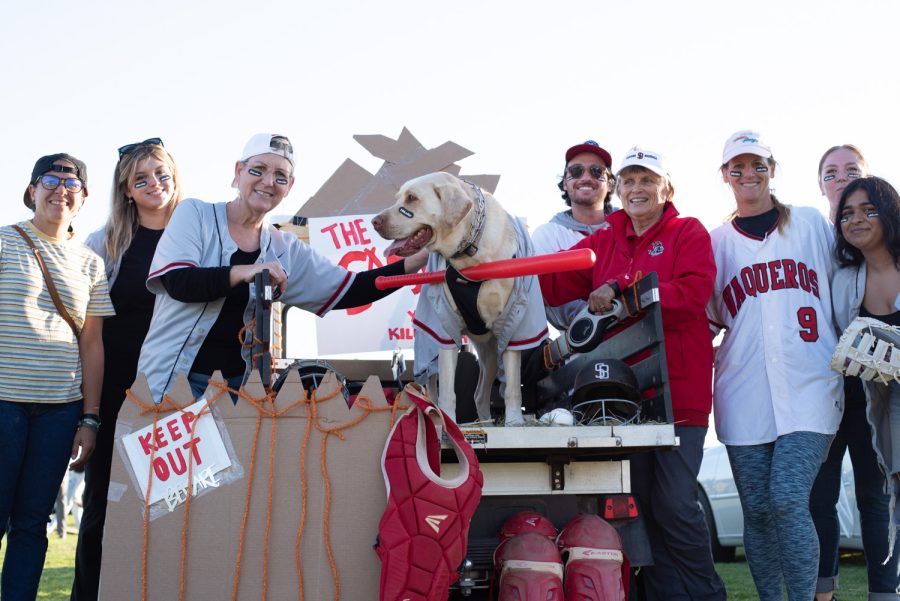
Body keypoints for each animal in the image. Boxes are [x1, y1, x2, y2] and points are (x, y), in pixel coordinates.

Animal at [370, 171, 548, 424]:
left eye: (412, 198)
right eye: (398, 198)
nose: (374, 221)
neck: (471, 251)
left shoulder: (515, 322)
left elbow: (513, 386)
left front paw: (514, 421)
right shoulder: (444, 326)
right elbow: (447, 389)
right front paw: (447, 422)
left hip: (490, 354)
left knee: (480, 394)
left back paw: (486, 422)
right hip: (430, 346)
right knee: (432, 387)